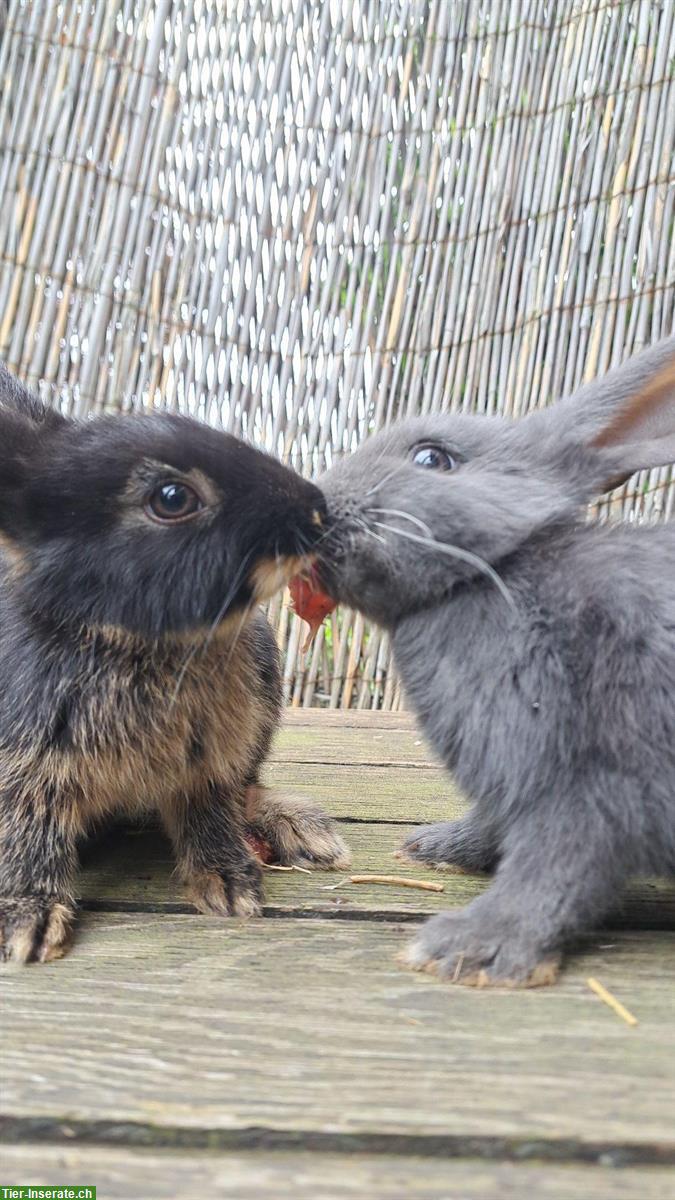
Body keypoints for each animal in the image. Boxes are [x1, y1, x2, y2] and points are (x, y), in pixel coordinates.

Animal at [0, 364, 345, 964]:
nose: (315, 508)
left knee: (249, 789)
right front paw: (30, 923)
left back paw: (301, 831)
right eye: (171, 497)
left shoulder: (210, 761)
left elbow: (209, 808)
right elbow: (29, 829)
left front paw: (230, 886)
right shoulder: (25, 766)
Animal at [309, 338, 672, 984]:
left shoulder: (589, 782)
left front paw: (470, 949)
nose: (315, 506)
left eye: (432, 458)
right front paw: (435, 850)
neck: (493, 573)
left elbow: (554, 869)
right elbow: (493, 827)